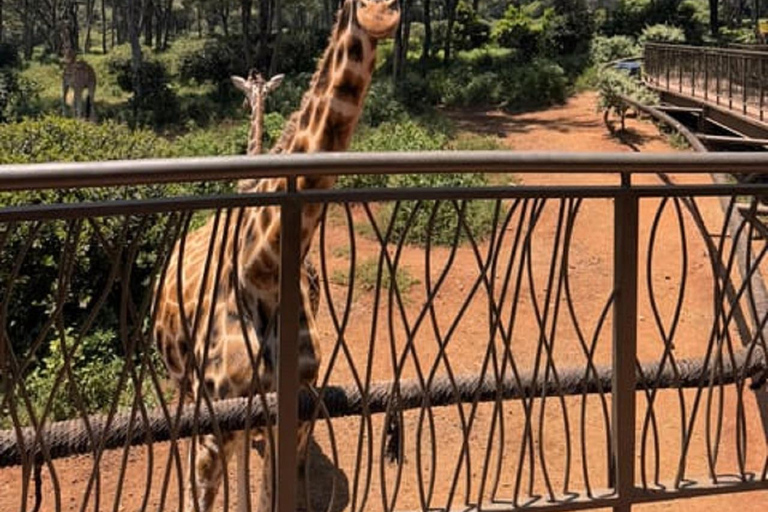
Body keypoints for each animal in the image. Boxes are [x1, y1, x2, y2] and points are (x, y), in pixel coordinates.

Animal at [152, 2, 401, 511]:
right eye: (349, 6)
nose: (381, 15)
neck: (262, 269)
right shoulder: (215, 427)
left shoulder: (295, 419)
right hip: (183, 388)